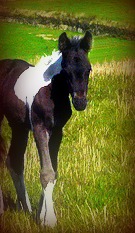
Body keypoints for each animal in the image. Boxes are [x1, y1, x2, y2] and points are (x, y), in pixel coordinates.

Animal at [0, 30, 92, 227]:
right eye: (65, 69)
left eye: (88, 69)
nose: (80, 102)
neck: (51, 91)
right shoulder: (39, 129)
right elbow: (47, 173)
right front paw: (49, 219)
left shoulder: (57, 131)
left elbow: (53, 171)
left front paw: (40, 215)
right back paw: (2, 208)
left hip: (18, 125)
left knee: (14, 160)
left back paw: (25, 208)